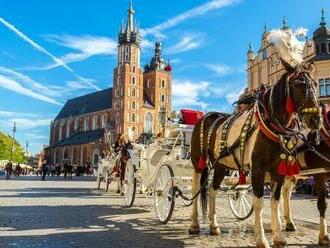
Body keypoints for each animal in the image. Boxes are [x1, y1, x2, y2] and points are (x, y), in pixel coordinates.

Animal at [189, 62, 320, 248]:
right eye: (297, 84)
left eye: (315, 84)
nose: (316, 119)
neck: (271, 125)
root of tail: (207, 116)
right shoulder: (258, 170)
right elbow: (258, 203)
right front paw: (261, 239)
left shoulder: (278, 172)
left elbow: (275, 201)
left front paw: (279, 236)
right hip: (197, 162)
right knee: (196, 188)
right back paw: (194, 224)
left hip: (221, 165)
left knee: (212, 190)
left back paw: (214, 226)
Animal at [282, 106, 330, 246]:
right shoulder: (320, 176)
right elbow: (322, 204)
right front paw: (323, 236)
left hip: (291, 176)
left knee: (286, 194)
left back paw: (289, 223)